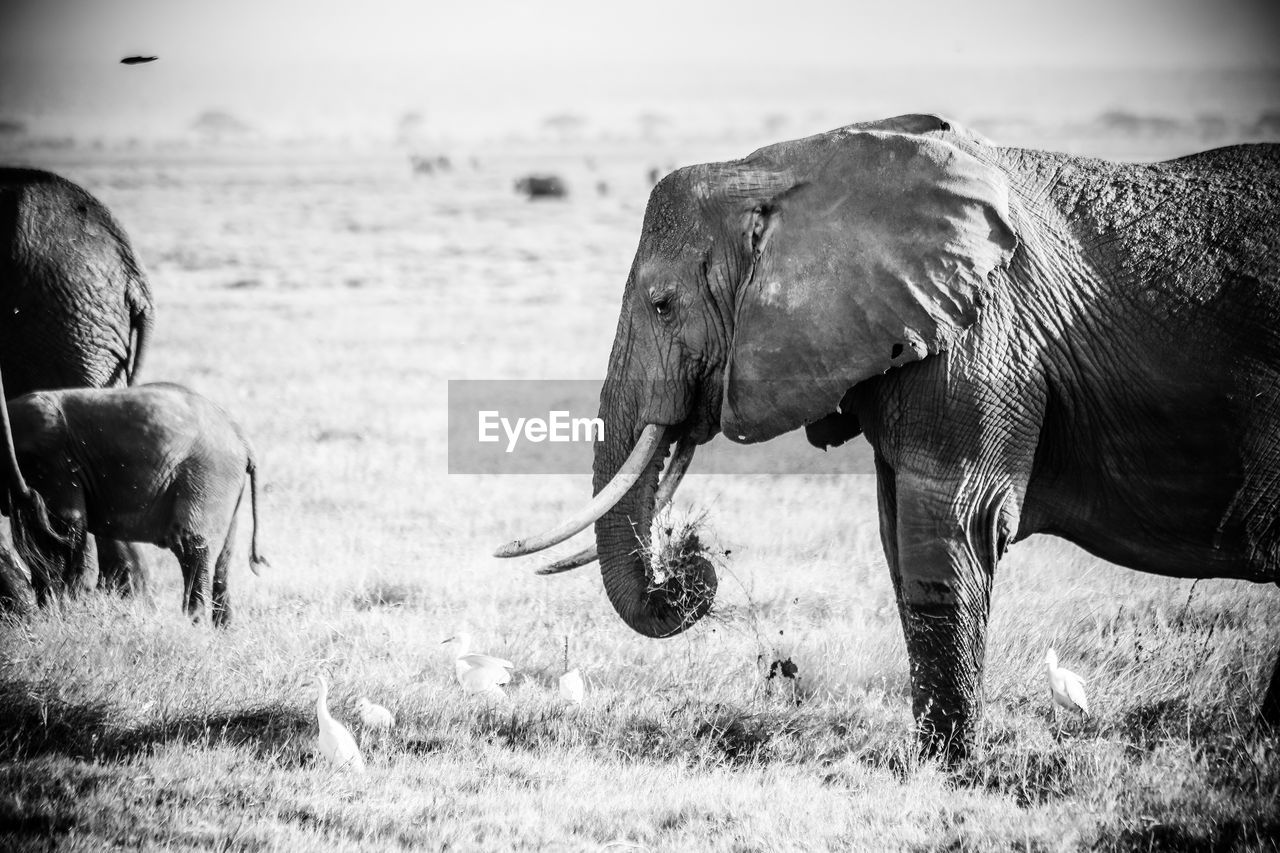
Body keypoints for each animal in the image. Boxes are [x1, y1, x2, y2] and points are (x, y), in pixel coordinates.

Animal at [1, 381, 267, 622]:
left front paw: (57, 613)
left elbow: (63, 529)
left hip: (208, 474)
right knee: (222, 559)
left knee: (191, 546)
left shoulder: (52, 463)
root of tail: (242, 439)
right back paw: (223, 630)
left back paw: (194, 626)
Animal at [496, 112, 1280, 758]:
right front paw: (937, 759)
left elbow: (947, 533)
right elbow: (898, 540)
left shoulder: (981, 340)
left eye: (661, 304)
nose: (690, 559)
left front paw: (946, 769)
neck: (784, 167)